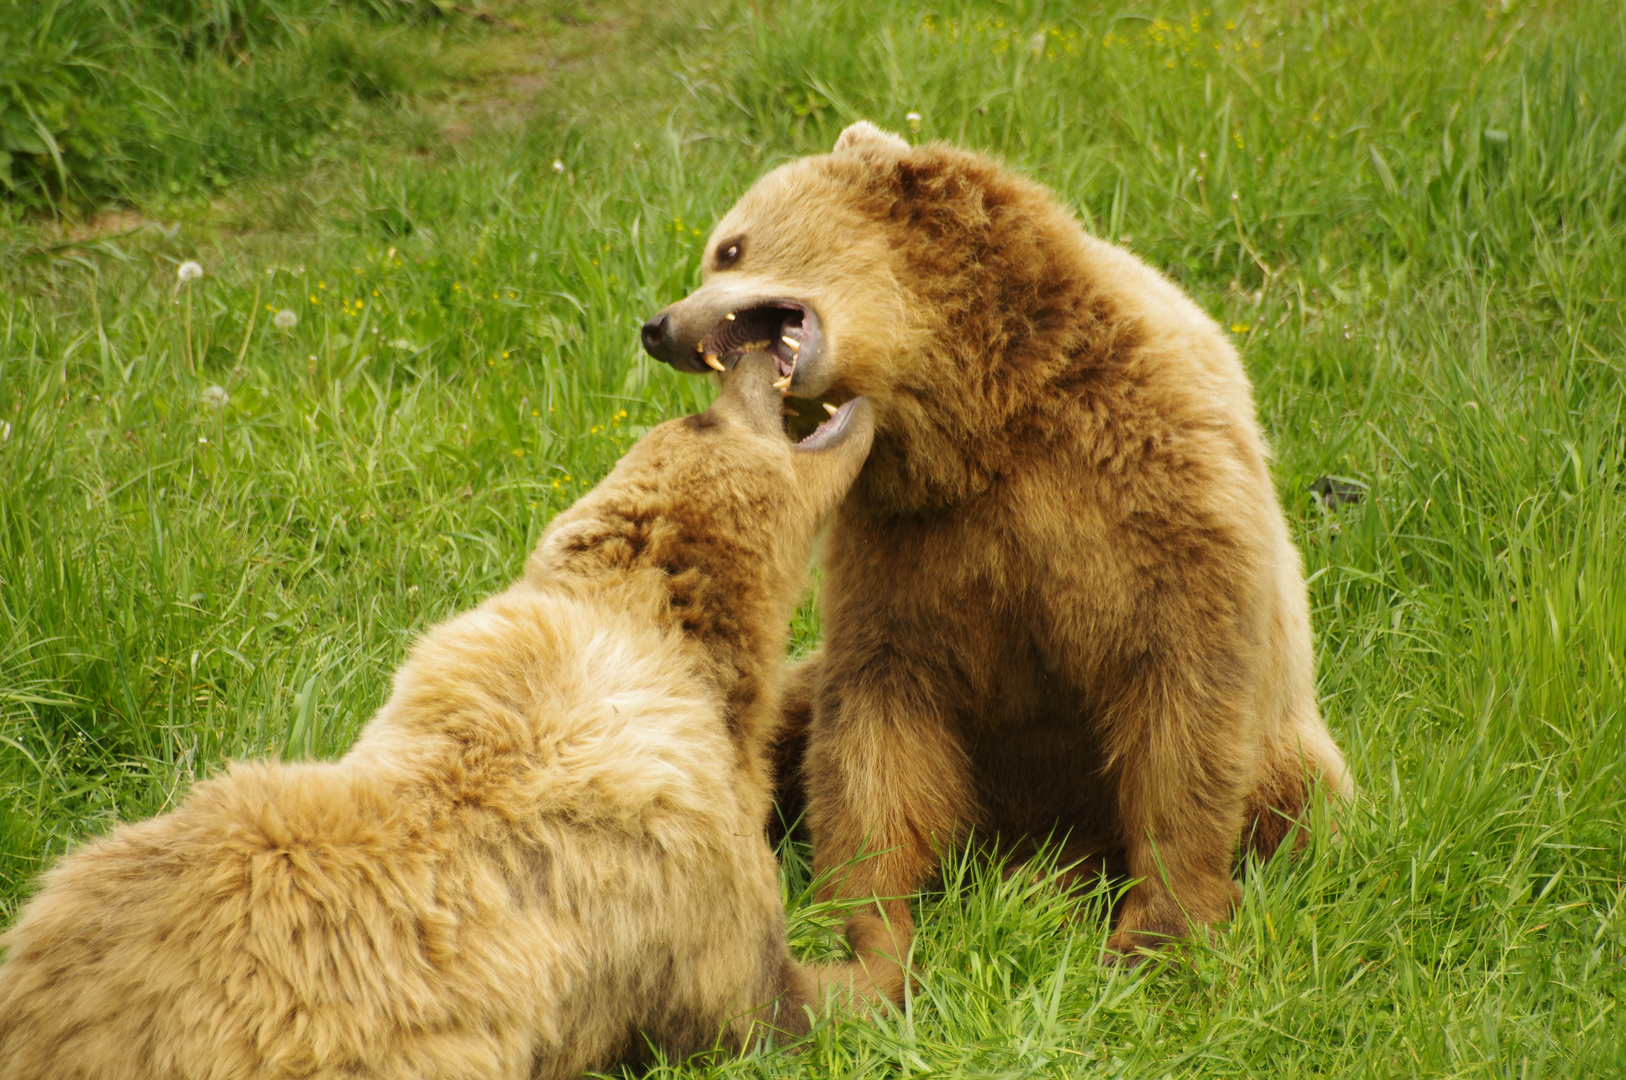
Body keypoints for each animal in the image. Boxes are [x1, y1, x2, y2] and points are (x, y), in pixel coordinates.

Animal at [0, 356, 878, 1080]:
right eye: (707, 417)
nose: (750, 359)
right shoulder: (692, 889)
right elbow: (768, 1005)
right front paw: (871, 969)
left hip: (76, 893)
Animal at [640, 120, 1352, 995]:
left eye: (728, 247)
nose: (659, 325)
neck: (983, 413)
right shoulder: (912, 545)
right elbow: (879, 723)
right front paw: (865, 928)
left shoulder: (1152, 486)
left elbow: (1182, 699)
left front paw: (1159, 933)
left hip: (1288, 744)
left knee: (1300, 797)